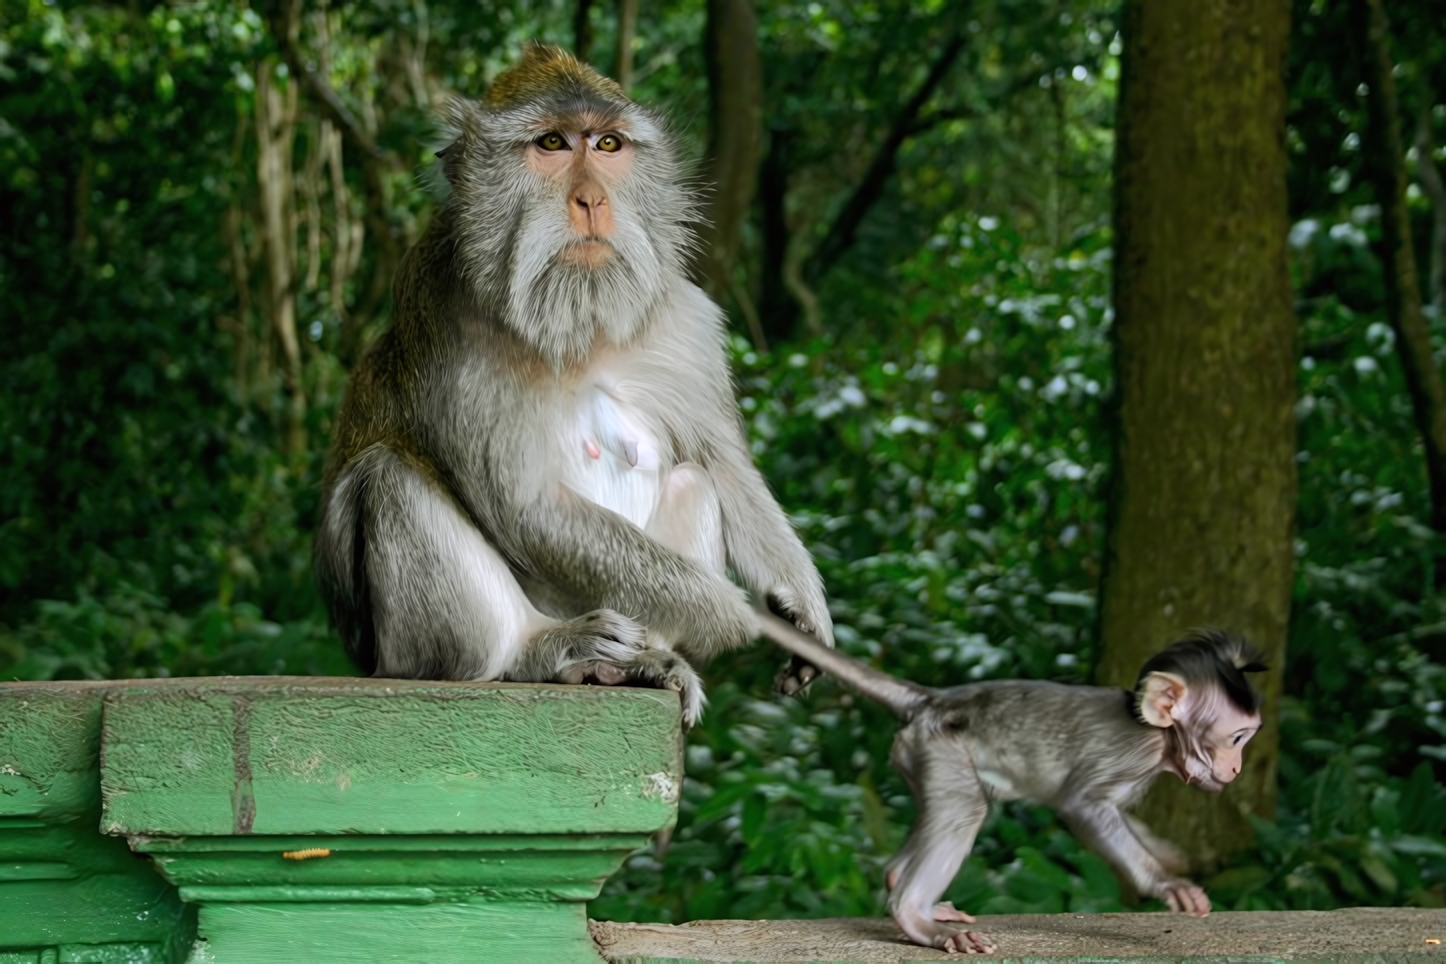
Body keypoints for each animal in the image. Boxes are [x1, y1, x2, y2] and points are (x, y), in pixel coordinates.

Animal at [321, 45, 832, 722]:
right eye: (553, 143)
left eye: (608, 143)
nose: (591, 201)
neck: (578, 325)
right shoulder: (445, 318)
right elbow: (525, 505)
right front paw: (731, 614)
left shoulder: (684, 318)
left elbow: (721, 463)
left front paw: (800, 602)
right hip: (412, 650)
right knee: (388, 478)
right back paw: (540, 653)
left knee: (694, 481)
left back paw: (641, 663)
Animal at [757, 615, 1266, 953]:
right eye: (1237, 738)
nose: (1237, 769)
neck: (1158, 737)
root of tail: (934, 700)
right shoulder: (1131, 755)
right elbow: (1084, 805)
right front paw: (1165, 882)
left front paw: (1167, 854)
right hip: (941, 746)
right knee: (966, 809)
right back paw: (914, 914)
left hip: (918, 753)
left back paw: (906, 887)